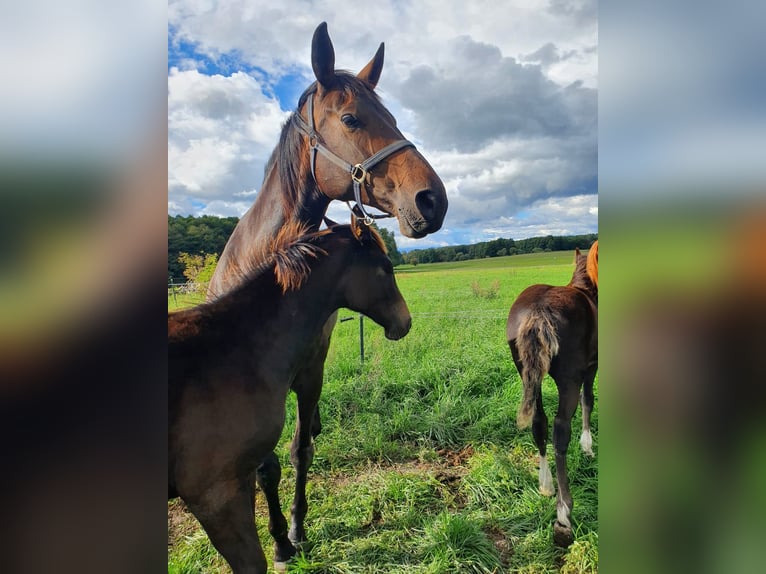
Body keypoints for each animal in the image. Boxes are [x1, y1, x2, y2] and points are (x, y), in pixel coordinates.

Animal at [171, 222, 414, 574]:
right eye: (386, 267)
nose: (405, 322)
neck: (238, 344)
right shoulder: (215, 496)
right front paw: (288, 543)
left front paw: (286, 540)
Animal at [206, 21, 450, 552]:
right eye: (352, 119)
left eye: (393, 117)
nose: (433, 199)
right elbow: (266, 466)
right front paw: (279, 539)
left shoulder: (310, 371)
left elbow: (299, 450)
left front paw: (296, 526)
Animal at [510, 241, 600, 548]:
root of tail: (538, 312)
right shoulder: (591, 367)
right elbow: (588, 401)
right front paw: (588, 447)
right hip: (568, 380)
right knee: (560, 431)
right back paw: (564, 514)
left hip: (528, 375)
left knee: (539, 424)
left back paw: (546, 485)